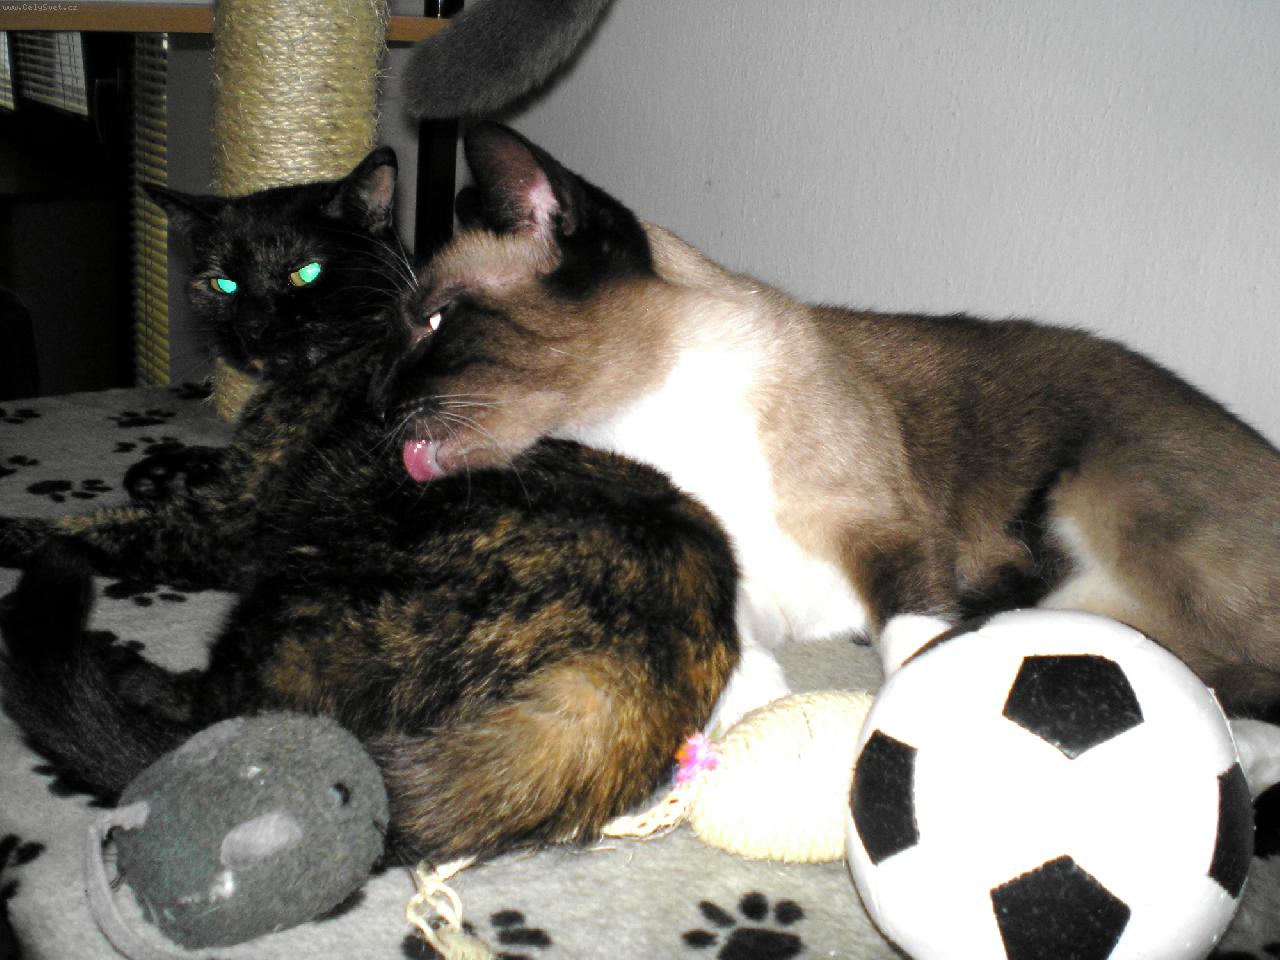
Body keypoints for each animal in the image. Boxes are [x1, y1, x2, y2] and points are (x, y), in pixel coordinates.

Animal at [0, 148, 739, 864]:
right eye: (222, 284)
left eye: (304, 273)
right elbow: (200, 465)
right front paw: (155, 466)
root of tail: (623, 680)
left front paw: (24, 527)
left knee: (221, 719)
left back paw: (108, 662)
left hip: (303, 587)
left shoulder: (230, 527)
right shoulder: (241, 477)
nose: (252, 331)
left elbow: (91, 527)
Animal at [370, 121, 1280, 727]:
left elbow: (915, 643)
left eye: (437, 322)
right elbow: (733, 642)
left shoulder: (886, 534)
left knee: (1243, 672)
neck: (652, 424)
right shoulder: (746, 580)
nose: (377, 403)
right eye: (405, 327)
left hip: (1106, 502)